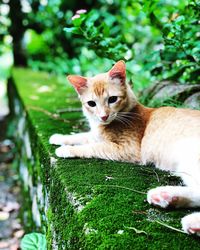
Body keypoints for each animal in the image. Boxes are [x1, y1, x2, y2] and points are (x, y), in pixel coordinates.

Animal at [49, 60, 200, 236]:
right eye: (91, 104)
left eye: (112, 99)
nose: (103, 116)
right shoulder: (95, 134)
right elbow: (83, 136)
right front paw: (59, 137)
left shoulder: (128, 148)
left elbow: (93, 146)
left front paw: (66, 149)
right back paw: (166, 197)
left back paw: (192, 219)